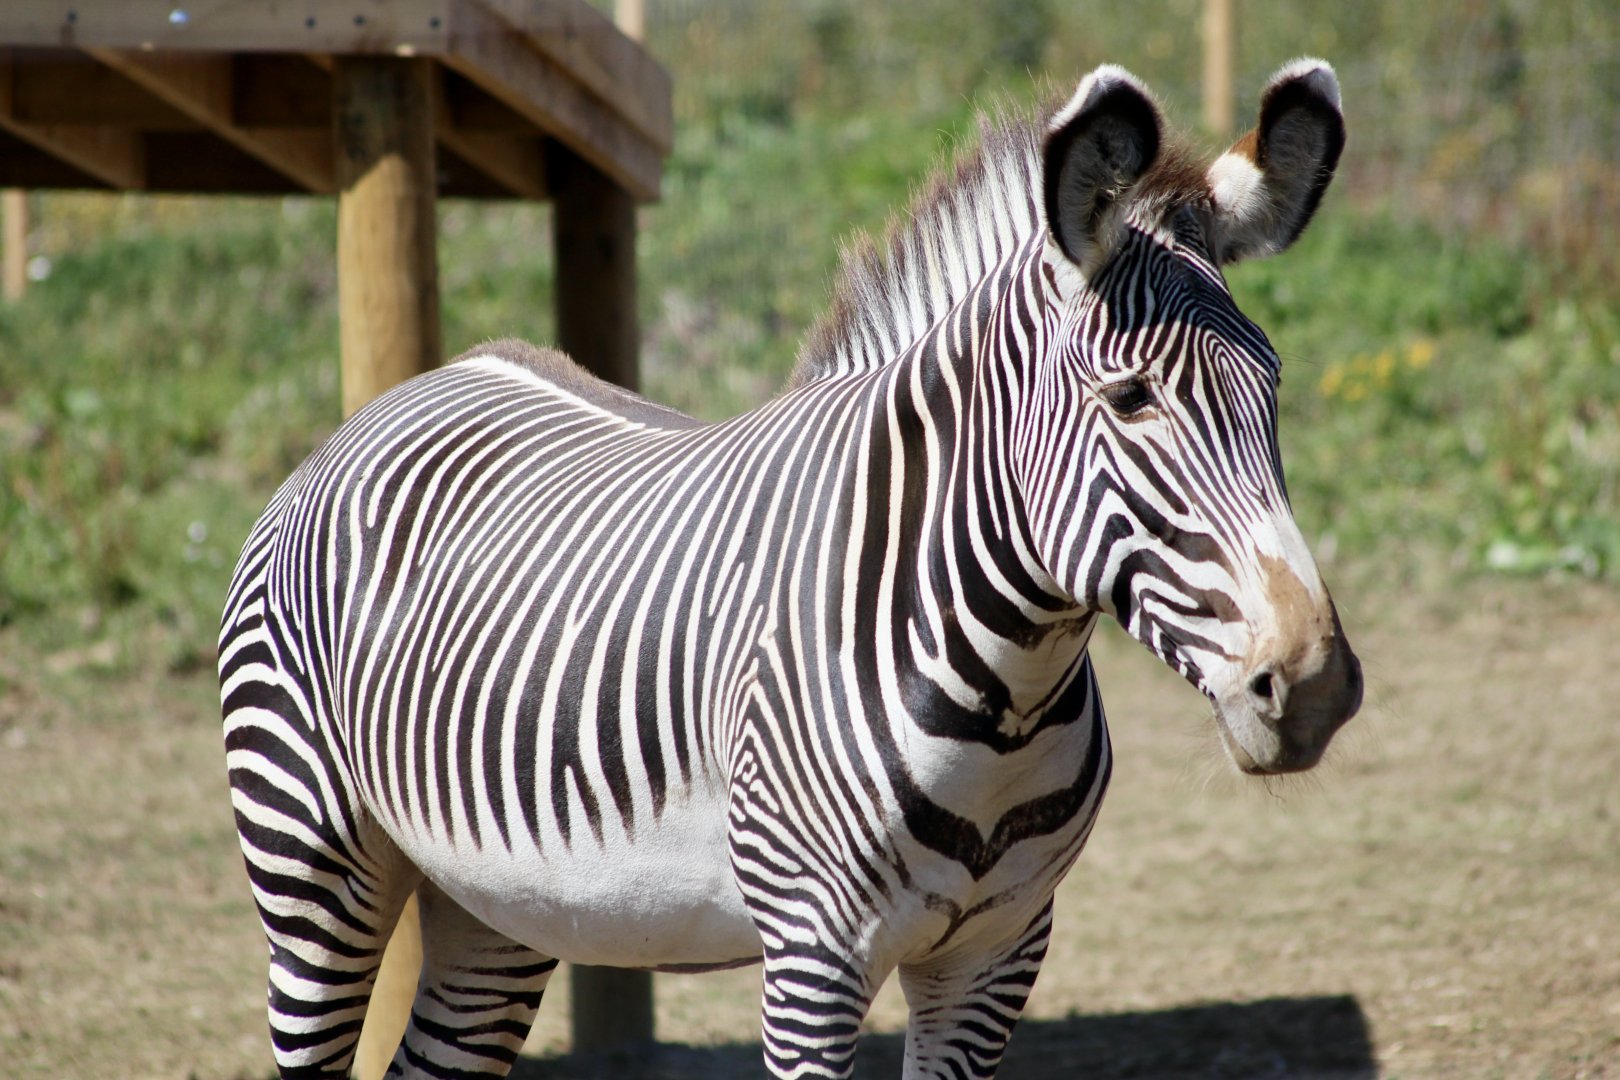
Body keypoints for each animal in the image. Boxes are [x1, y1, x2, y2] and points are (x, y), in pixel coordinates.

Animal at [220, 59, 1361, 1079]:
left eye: (1273, 385)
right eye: (1131, 399)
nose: (1313, 687)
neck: (1006, 691)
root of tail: (411, 390)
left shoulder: (999, 951)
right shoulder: (813, 954)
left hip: (492, 901)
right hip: (310, 856)